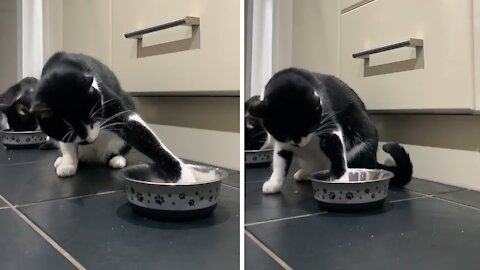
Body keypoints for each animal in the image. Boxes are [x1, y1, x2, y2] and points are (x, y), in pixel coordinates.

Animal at [31, 51, 195, 182]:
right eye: (68, 129)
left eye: (92, 120)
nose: (88, 139)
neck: (60, 67)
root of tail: (94, 157)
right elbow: (67, 144)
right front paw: (68, 163)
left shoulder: (107, 96)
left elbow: (136, 128)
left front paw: (182, 174)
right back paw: (62, 160)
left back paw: (117, 159)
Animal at [248, 68, 412, 193]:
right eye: (285, 133)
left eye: (310, 127)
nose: (300, 143)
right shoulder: (282, 143)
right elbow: (280, 161)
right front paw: (274, 183)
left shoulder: (328, 122)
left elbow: (336, 149)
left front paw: (341, 179)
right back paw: (305, 173)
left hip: (359, 137)